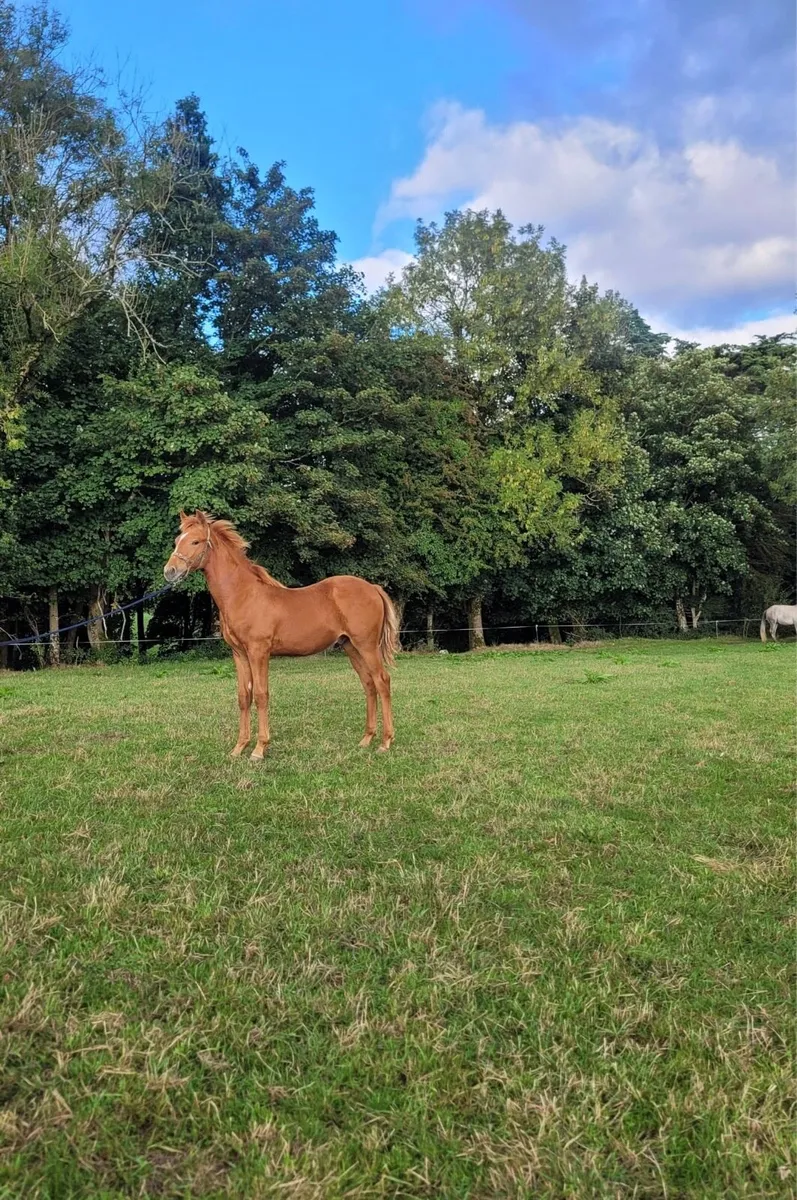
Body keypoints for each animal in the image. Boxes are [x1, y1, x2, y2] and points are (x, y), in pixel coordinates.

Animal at [163, 510, 397, 759]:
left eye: (195, 541)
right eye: (177, 540)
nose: (170, 572)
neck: (244, 595)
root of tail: (373, 588)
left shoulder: (259, 652)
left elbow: (261, 695)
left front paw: (259, 749)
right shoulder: (239, 654)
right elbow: (244, 697)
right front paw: (239, 747)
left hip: (367, 646)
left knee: (382, 681)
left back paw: (385, 741)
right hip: (351, 647)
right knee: (369, 684)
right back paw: (366, 739)